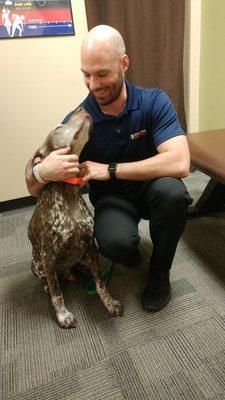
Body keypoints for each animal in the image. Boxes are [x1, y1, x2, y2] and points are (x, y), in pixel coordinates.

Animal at [28, 107, 123, 328]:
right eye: (58, 127)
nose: (81, 108)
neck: (68, 190)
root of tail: (67, 272)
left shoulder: (89, 243)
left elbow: (100, 283)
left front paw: (109, 302)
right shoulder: (48, 255)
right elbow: (56, 294)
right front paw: (62, 315)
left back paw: (84, 269)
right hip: (37, 264)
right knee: (50, 280)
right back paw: (49, 285)